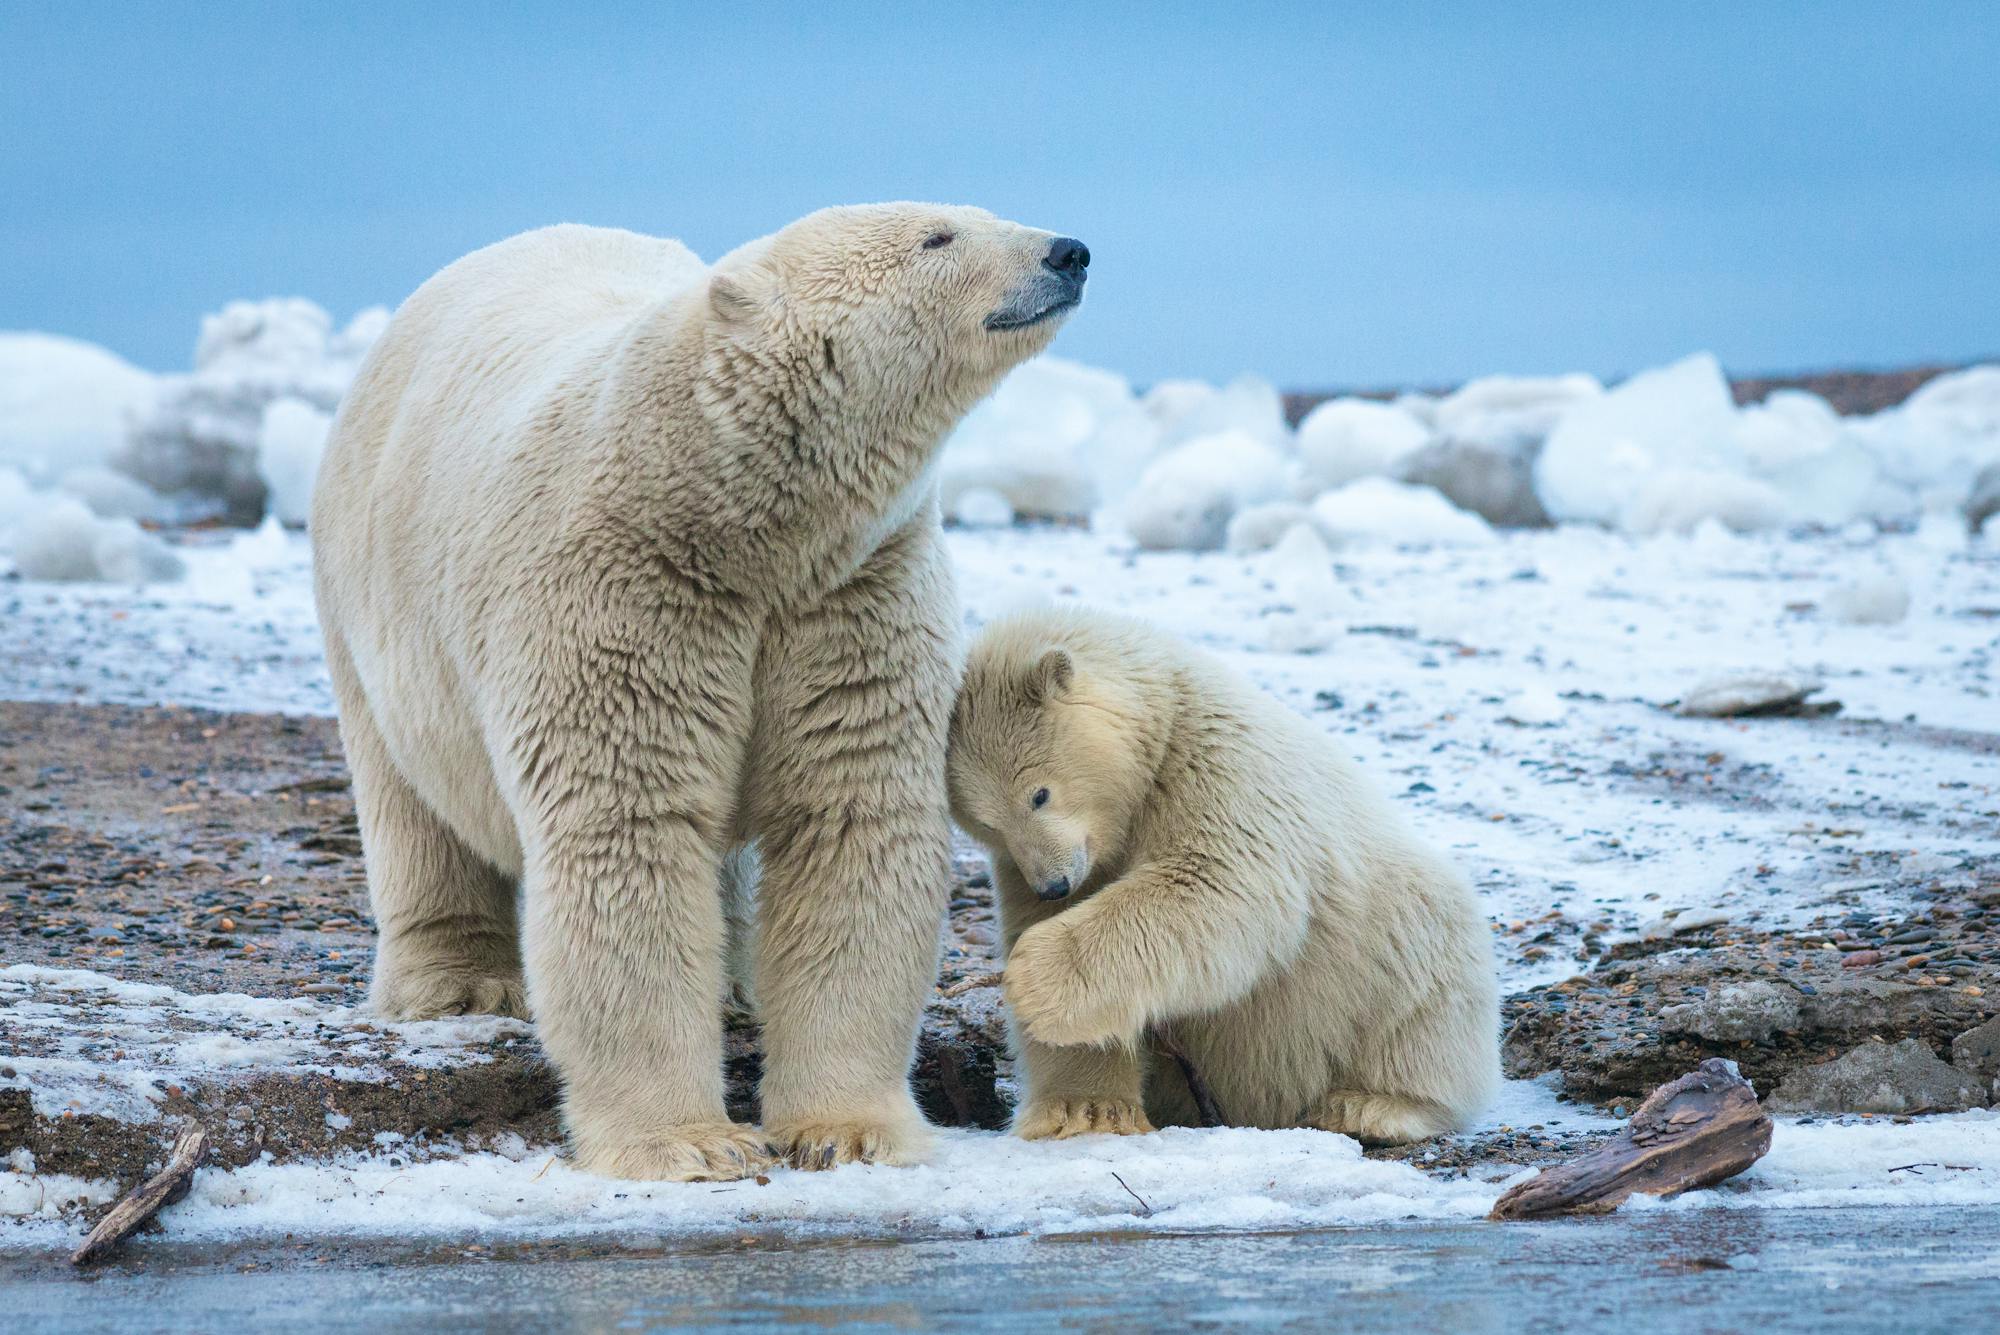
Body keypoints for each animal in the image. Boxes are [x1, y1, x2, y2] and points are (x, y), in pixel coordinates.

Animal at [316, 203, 1096, 1175]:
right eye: (939, 237)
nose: (1069, 252)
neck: (722, 508)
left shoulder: (850, 591)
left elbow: (848, 819)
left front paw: (848, 1129)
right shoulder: (620, 587)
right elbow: (628, 831)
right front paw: (689, 1143)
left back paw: (730, 986)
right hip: (370, 598)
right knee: (411, 798)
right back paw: (460, 982)